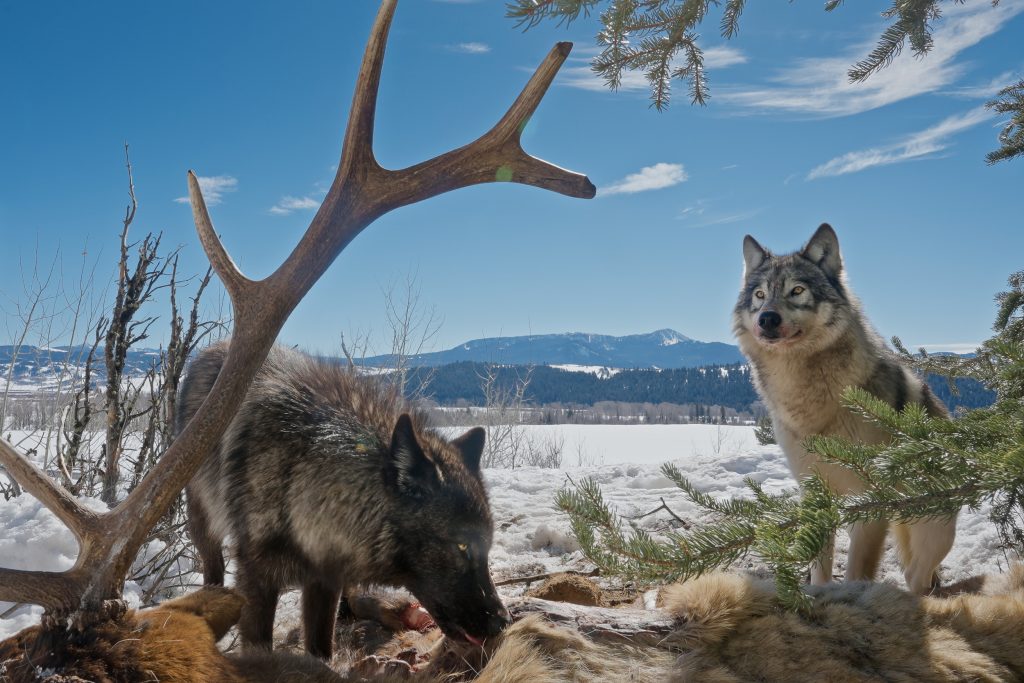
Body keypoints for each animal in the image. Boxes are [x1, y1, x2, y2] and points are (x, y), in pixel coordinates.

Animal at [178, 341, 510, 659]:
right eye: (462, 546)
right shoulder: (256, 579)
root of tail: (213, 348)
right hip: (203, 525)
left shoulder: (325, 579)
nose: (503, 621)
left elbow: (321, 649)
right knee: (212, 568)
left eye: (486, 547)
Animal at [732, 224, 956, 594]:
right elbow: (819, 569)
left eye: (797, 290)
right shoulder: (814, 492)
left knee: (917, 576)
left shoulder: (871, 500)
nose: (767, 319)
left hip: (936, 530)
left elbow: (858, 572)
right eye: (761, 295)